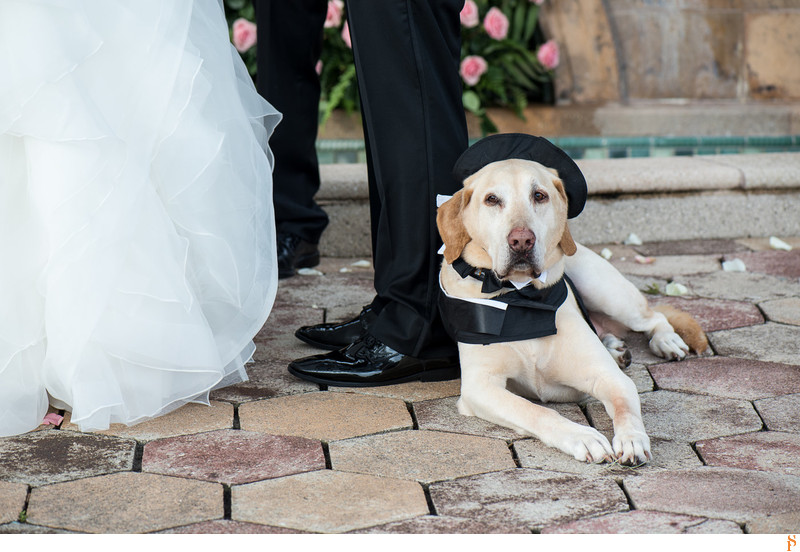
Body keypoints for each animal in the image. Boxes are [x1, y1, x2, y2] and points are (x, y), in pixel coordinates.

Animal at [438, 139, 708, 466]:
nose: (521, 241)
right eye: (492, 199)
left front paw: (632, 439)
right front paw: (583, 436)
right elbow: (536, 410)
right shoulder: (481, 386)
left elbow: (625, 407)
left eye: (539, 195)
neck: (522, 298)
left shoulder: (609, 378)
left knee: (654, 317)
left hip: (607, 291)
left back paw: (665, 341)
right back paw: (616, 348)